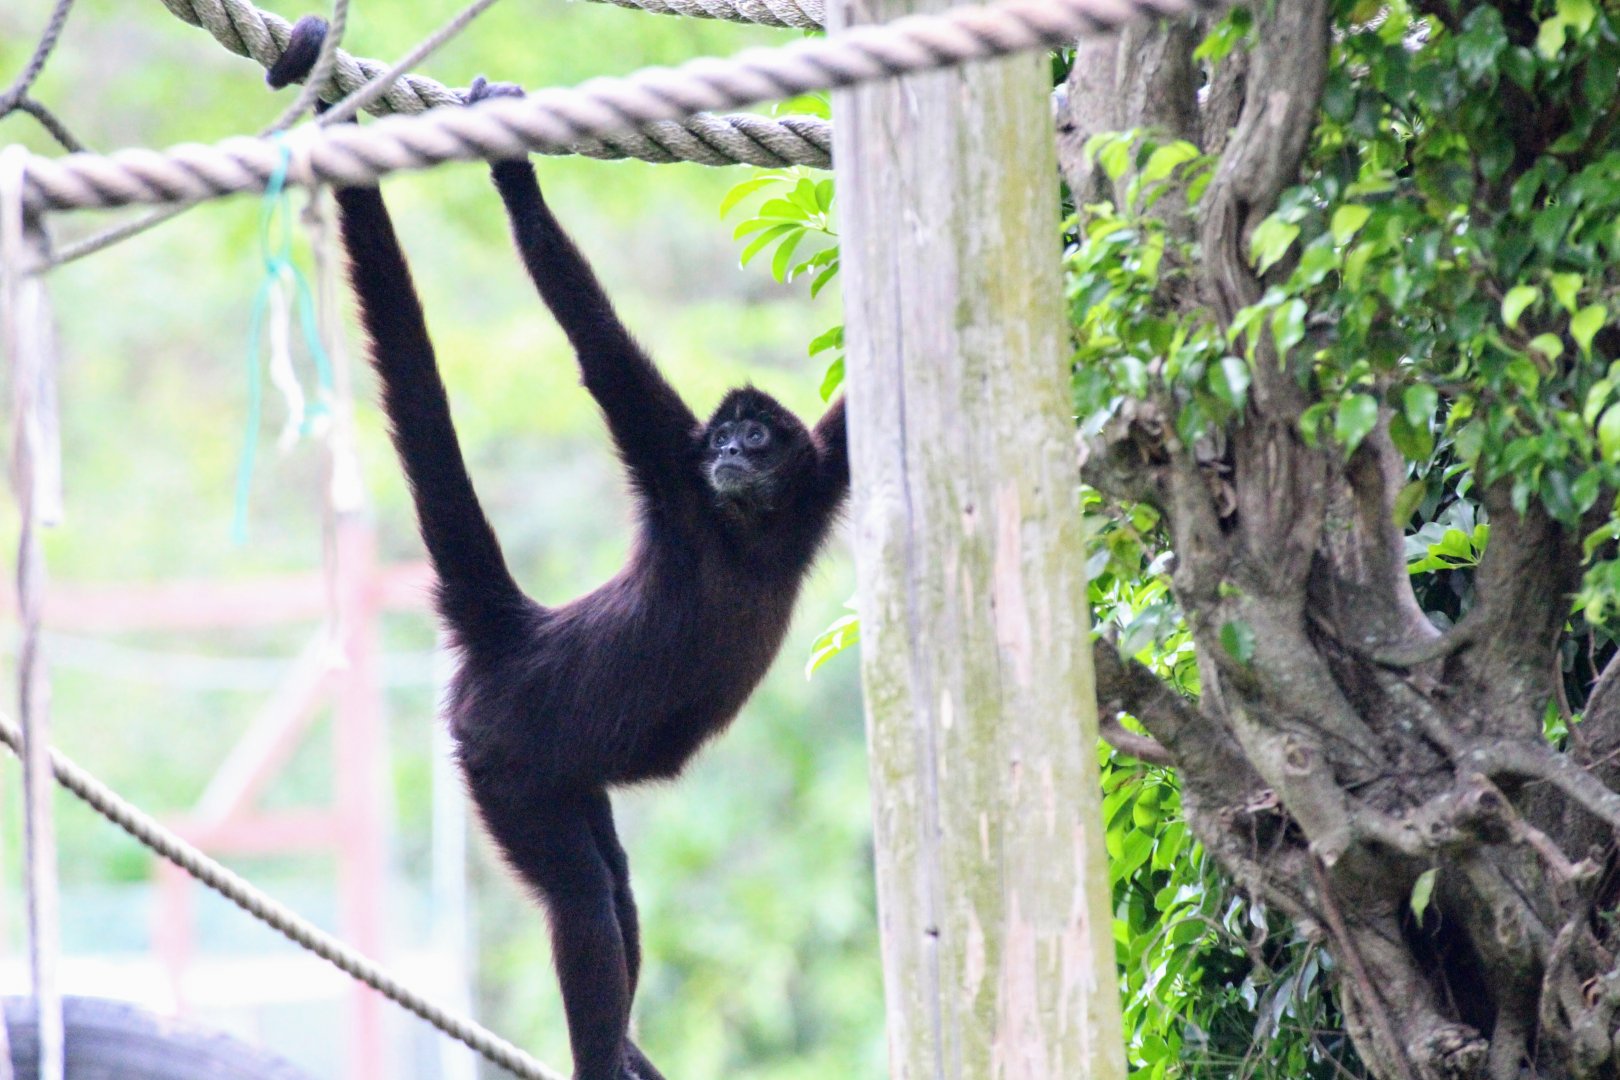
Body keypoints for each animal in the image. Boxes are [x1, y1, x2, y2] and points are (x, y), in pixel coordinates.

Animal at [267, 18, 848, 1080]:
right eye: (723, 436)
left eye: (757, 437)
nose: (730, 454)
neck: (746, 531)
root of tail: (517, 634)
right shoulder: (670, 466)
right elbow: (592, 336)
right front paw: (514, 170)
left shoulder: (815, 480)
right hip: (503, 754)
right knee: (584, 902)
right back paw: (599, 1053)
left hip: (556, 771)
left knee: (614, 887)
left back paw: (623, 1049)